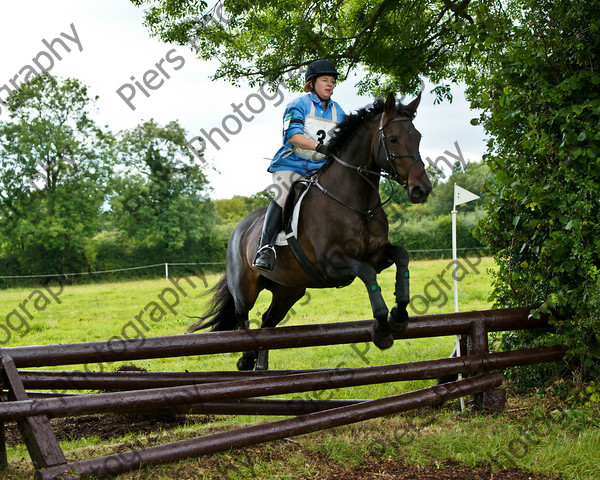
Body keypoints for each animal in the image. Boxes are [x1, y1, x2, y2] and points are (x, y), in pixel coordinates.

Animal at [191, 93, 432, 372]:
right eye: (393, 138)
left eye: (418, 137)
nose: (421, 189)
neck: (357, 202)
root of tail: (240, 228)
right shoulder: (332, 264)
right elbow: (367, 273)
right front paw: (382, 330)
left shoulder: (377, 255)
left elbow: (401, 256)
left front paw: (400, 316)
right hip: (244, 289)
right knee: (243, 317)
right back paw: (246, 358)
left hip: (288, 290)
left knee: (268, 321)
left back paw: (260, 365)